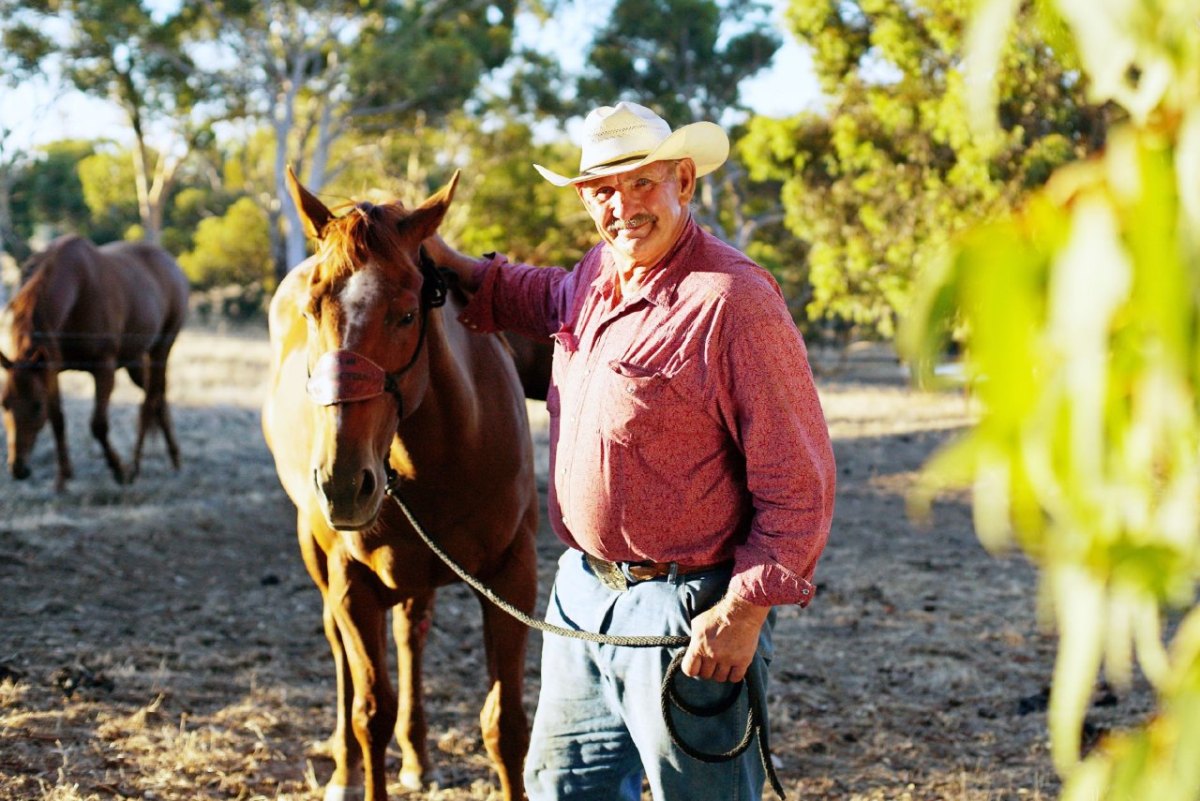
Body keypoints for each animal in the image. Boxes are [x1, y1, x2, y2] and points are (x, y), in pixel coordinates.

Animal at [1, 235, 188, 489]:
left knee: (149, 403)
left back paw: (135, 467)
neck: (77, 290)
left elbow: (98, 425)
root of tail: (171, 264)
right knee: (159, 399)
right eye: (4, 403)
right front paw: (63, 478)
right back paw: (174, 458)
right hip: (135, 361)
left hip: (161, 348)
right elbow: (57, 420)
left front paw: (119, 470)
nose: (18, 469)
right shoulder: (51, 369)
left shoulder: (104, 369)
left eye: (37, 405)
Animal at [265, 165, 542, 796]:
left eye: (407, 313)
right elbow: (371, 711)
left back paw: (418, 758)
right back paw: (344, 770)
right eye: (312, 311)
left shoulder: (512, 576)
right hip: (317, 554)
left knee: (410, 633)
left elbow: (506, 725)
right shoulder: (352, 581)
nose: (343, 484)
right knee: (340, 649)